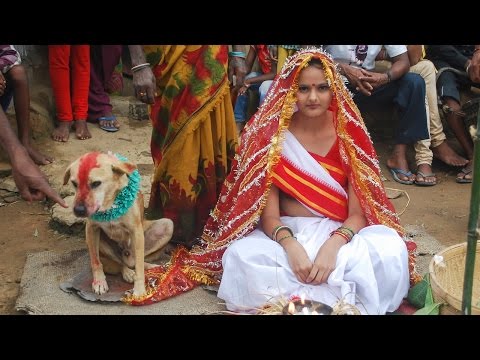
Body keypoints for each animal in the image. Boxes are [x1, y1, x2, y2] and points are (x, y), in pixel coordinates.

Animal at [63, 151, 172, 296]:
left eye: (96, 183)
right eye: (74, 183)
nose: (78, 210)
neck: (109, 204)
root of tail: (126, 254)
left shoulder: (136, 231)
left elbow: (139, 265)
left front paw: (139, 290)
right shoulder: (91, 229)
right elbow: (95, 261)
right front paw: (99, 282)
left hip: (167, 225)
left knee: (136, 261)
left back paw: (151, 267)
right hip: (100, 242)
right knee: (120, 263)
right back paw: (127, 272)